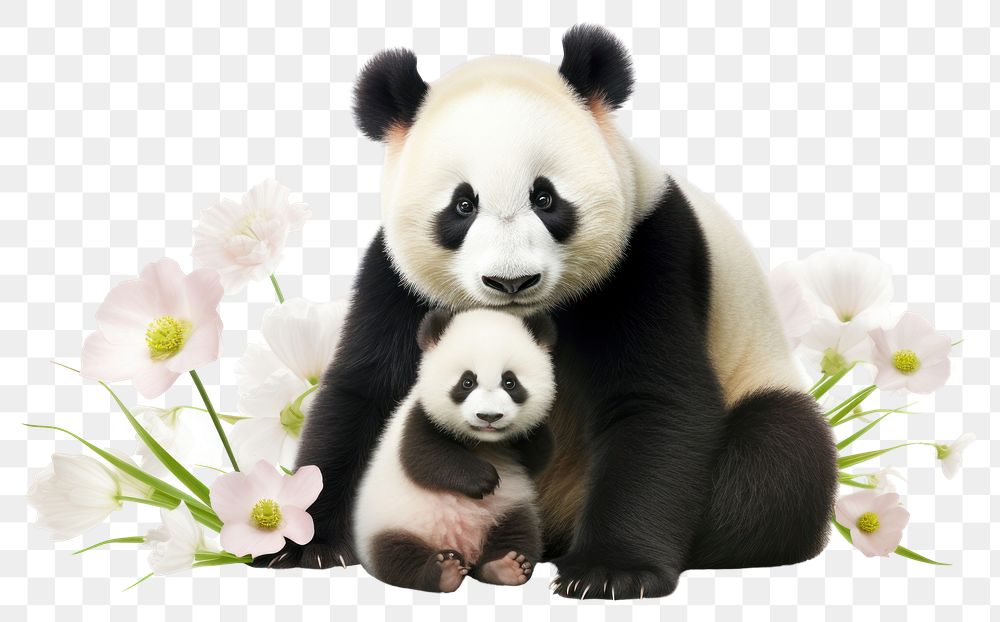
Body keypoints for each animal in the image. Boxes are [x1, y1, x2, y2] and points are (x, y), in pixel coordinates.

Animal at [352, 308, 557, 592]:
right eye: (467, 381)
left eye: (510, 382)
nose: (489, 416)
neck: (483, 442)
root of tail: (466, 552)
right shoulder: (417, 417)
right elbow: (423, 456)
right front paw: (483, 479)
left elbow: (540, 456)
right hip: (392, 525)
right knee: (397, 558)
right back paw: (444, 572)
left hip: (507, 511)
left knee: (519, 533)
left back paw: (505, 567)